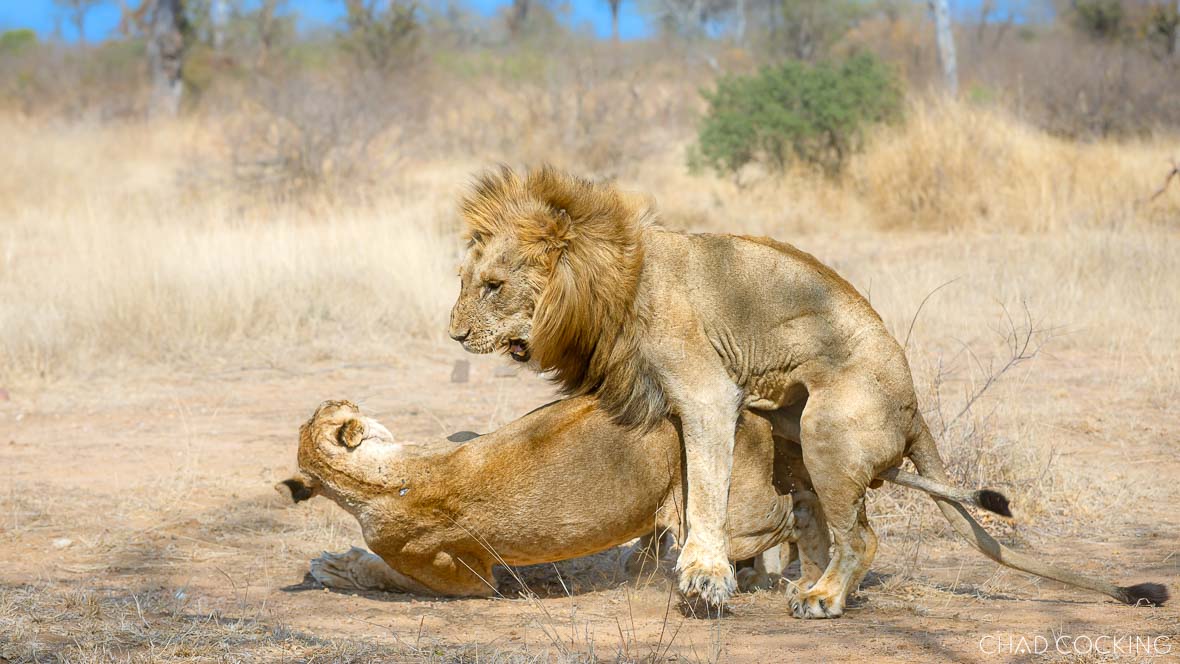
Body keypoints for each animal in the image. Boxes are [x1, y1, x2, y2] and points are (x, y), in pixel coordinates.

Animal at [447, 166, 1168, 616]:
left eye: (493, 286)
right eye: (467, 281)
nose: (453, 334)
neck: (609, 287)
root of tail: (913, 407)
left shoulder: (707, 392)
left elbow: (704, 486)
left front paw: (704, 574)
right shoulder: (656, 400)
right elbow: (676, 482)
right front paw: (653, 564)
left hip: (827, 426)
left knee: (862, 538)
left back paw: (822, 599)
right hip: (790, 424)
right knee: (825, 523)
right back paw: (797, 583)